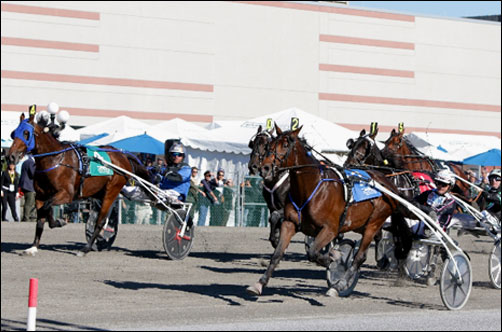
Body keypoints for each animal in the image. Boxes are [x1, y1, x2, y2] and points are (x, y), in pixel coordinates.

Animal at [7, 110, 150, 255]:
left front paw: (59, 222)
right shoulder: (40, 195)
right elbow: (41, 217)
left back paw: (86, 248)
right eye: (13, 133)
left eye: (26, 133)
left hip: (112, 191)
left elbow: (46, 207)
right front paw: (34, 246)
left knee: (100, 221)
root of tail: (124, 156)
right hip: (100, 193)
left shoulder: (67, 194)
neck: (55, 160)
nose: (10, 156)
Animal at [245, 124, 410, 296]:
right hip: (359, 224)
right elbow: (277, 254)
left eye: (285, 145)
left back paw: (340, 285)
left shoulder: (330, 229)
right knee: (373, 242)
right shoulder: (289, 223)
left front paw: (335, 257)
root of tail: (388, 184)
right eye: (269, 145)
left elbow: (314, 253)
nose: (263, 168)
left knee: (360, 256)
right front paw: (260, 283)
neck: (311, 187)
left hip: (374, 223)